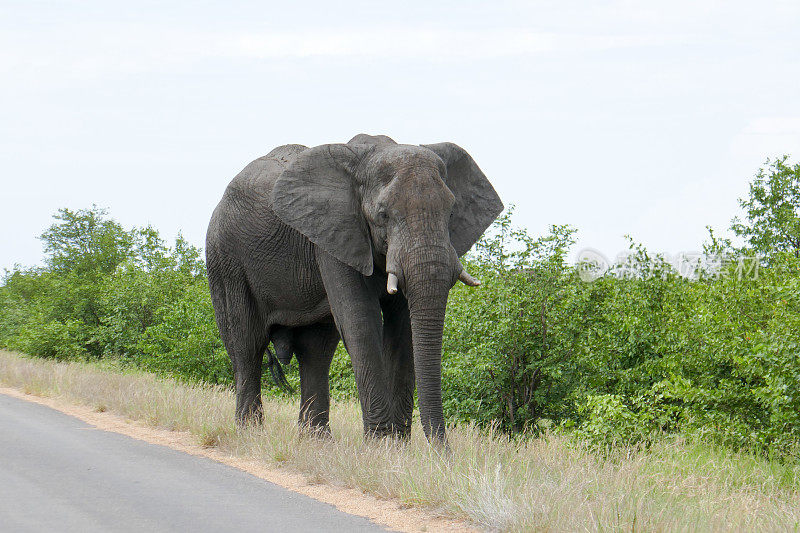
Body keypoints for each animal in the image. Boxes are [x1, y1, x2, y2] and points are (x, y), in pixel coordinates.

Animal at [208, 134, 506, 444]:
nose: (442, 452)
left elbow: (403, 330)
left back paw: (316, 442)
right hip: (225, 258)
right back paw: (249, 434)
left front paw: (398, 446)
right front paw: (381, 445)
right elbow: (361, 323)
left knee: (316, 351)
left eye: (451, 213)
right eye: (383, 214)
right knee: (247, 344)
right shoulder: (334, 235)